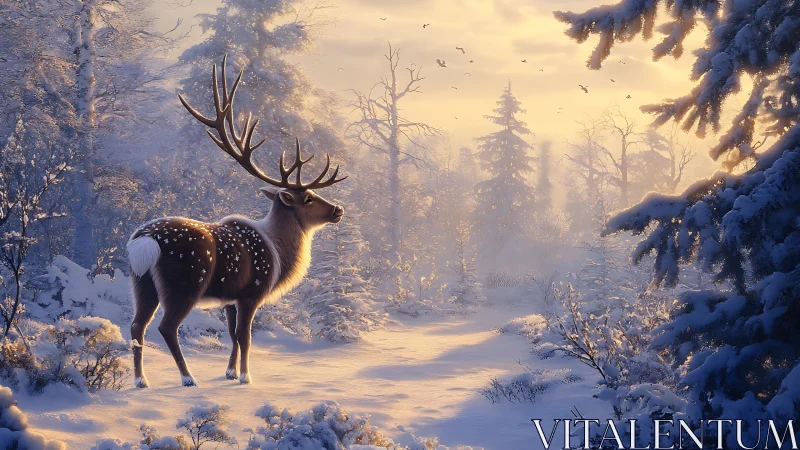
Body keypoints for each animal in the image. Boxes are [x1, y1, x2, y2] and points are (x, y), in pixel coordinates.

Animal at [126, 55, 346, 388]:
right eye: (308, 197)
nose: (338, 209)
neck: (279, 252)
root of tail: (145, 240)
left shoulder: (230, 299)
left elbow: (231, 335)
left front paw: (229, 372)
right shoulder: (251, 292)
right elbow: (245, 336)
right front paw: (245, 377)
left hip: (141, 283)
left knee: (137, 325)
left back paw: (141, 380)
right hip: (184, 283)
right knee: (166, 327)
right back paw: (188, 378)